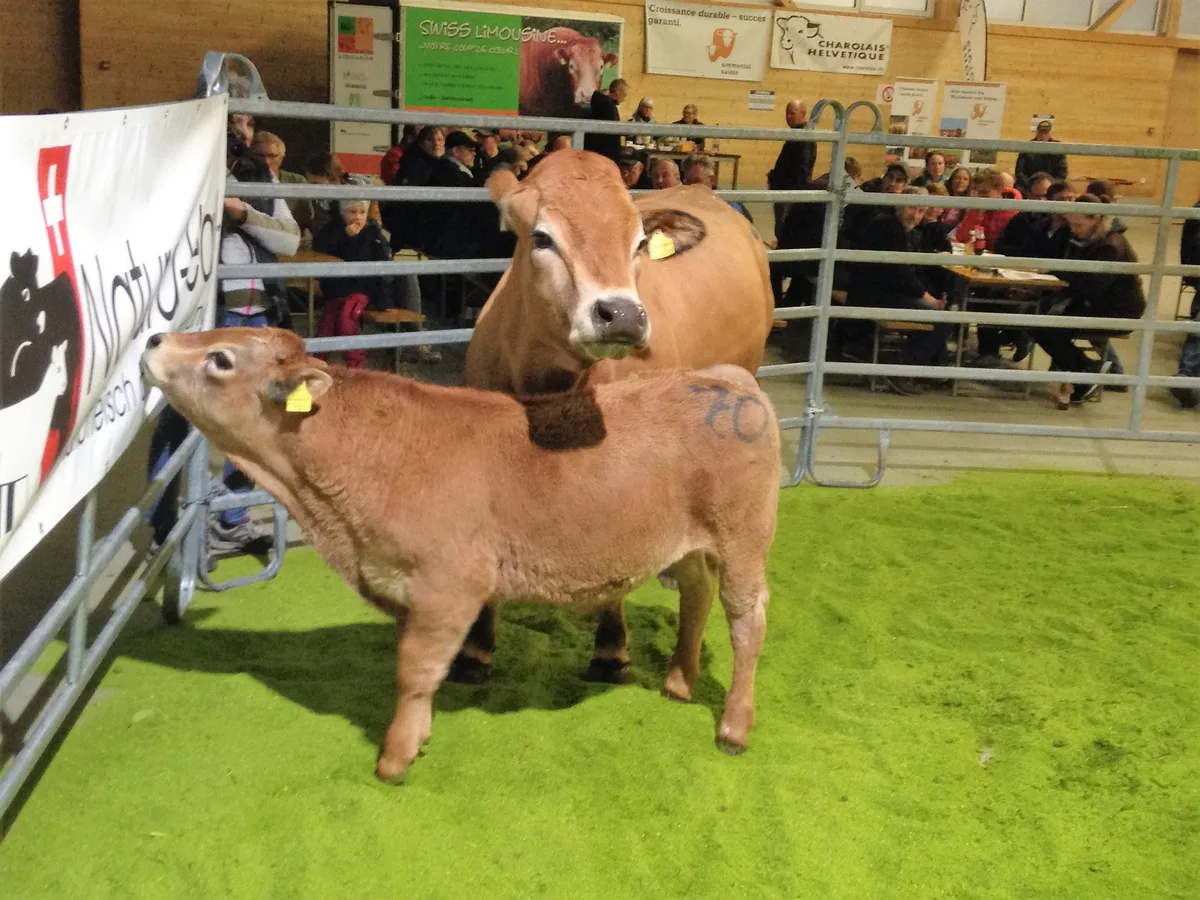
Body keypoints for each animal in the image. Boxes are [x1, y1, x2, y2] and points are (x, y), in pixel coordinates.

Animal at [140, 326, 780, 783]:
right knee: (697, 594)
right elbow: (421, 670)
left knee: (747, 621)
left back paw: (734, 726)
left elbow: (415, 670)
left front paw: (395, 758)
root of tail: (726, 379)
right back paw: (678, 681)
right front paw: (417, 737)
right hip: (687, 543)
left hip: (745, 538)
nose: (153, 340)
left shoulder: (449, 587)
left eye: (220, 359)